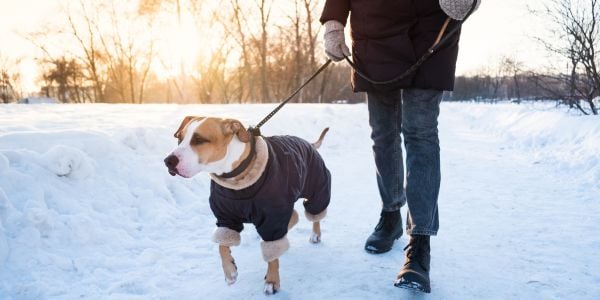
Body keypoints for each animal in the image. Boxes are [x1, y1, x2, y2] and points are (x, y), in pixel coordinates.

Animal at [164, 116, 330, 294]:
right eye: (179, 138)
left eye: (199, 139)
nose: (168, 161)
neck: (235, 179)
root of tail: (308, 143)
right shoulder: (225, 217)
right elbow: (222, 245)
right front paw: (229, 271)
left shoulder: (272, 217)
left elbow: (272, 255)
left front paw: (272, 280)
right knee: (294, 216)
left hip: (317, 187)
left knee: (315, 213)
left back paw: (315, 235)